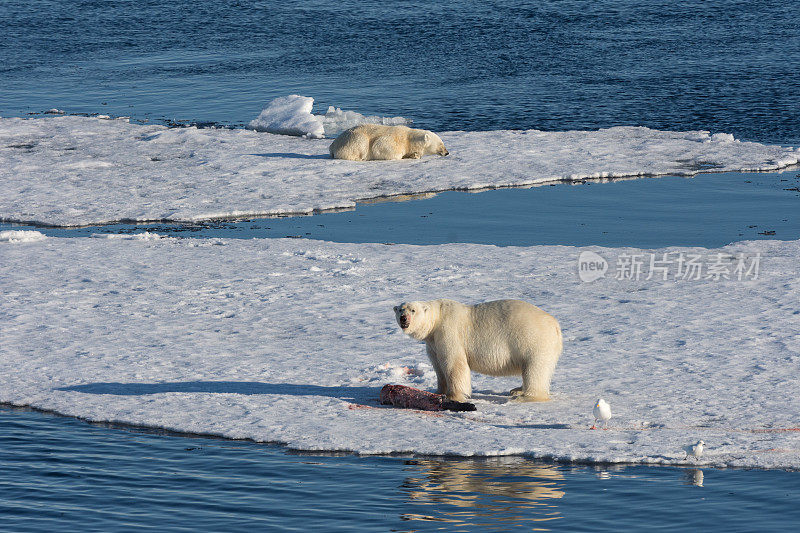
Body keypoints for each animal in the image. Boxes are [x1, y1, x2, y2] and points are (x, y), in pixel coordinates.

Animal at [394, 300, 564, 404]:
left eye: (413, 310)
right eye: (400, 309)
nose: (403, 318)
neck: (437, 319)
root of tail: (555, 325)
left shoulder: (448, 331)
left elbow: (454, 363)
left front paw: (454, 396)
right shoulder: (433, 343)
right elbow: (438, 366)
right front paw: (438, 391)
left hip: (533, 339)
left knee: (534, 368)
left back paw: (524, 396)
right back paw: (516, 390)